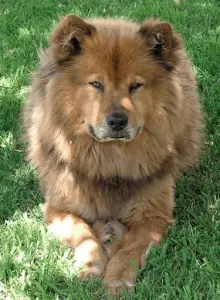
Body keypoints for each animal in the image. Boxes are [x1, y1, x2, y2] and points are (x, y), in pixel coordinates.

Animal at [22, 14, 203, 296]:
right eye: (96, 84)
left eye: (135, 86)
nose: (117, 121)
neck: (111, 160)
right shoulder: (59, 209)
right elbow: (84, 234)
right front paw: (92, 267)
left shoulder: (153, 216)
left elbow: (129, 250)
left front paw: (117, 279)